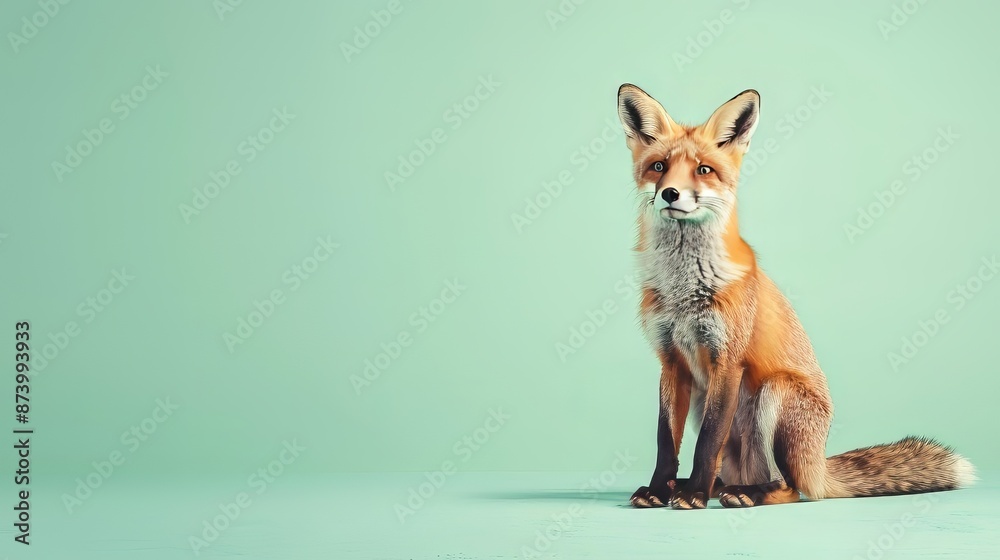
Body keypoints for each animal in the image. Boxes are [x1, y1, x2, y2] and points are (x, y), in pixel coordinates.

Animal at [616, 84, 975, 509]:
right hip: (708, 404)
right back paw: (706, 486)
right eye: (659, 167)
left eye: (703, 170)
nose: (670, 194)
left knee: (788, 487)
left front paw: (693, 496)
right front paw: (660, 489)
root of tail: (818, 465)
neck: (685, 288)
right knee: (738, 472)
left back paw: (741, 492)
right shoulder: (670, 360)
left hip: (774, 394)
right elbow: (664, 442)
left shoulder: (728, 360)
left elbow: (707, 442)